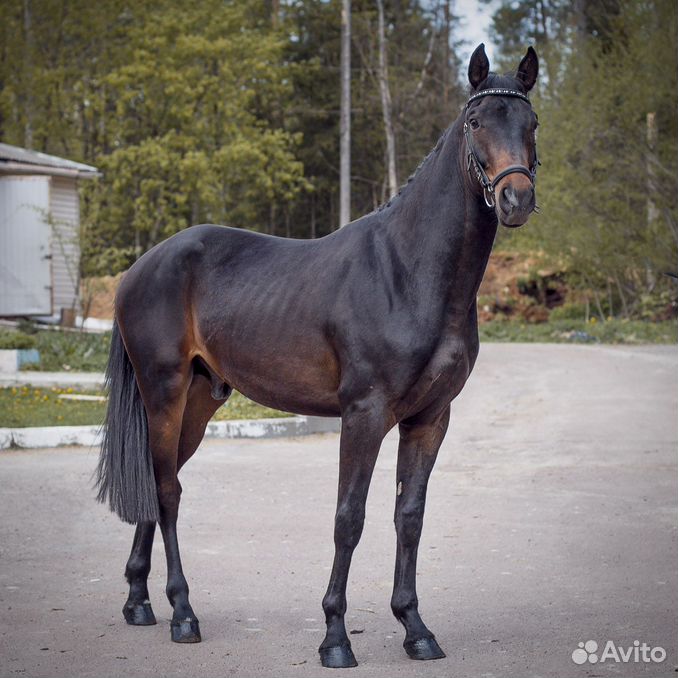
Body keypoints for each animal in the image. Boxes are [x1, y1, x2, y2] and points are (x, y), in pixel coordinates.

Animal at [95, 45, 540, 672]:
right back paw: (183, 613)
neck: (409, 270)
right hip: (164, 392)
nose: (515, 199)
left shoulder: (431, 418)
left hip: (200, 403)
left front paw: (415, 628)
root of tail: (140, 268)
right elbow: (348, 519)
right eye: (476, 122)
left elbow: (409, 516)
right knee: (167, 491)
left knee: (162, 483)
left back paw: (140, 602)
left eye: (532, 123)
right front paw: (335, 637)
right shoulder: (365, 414)